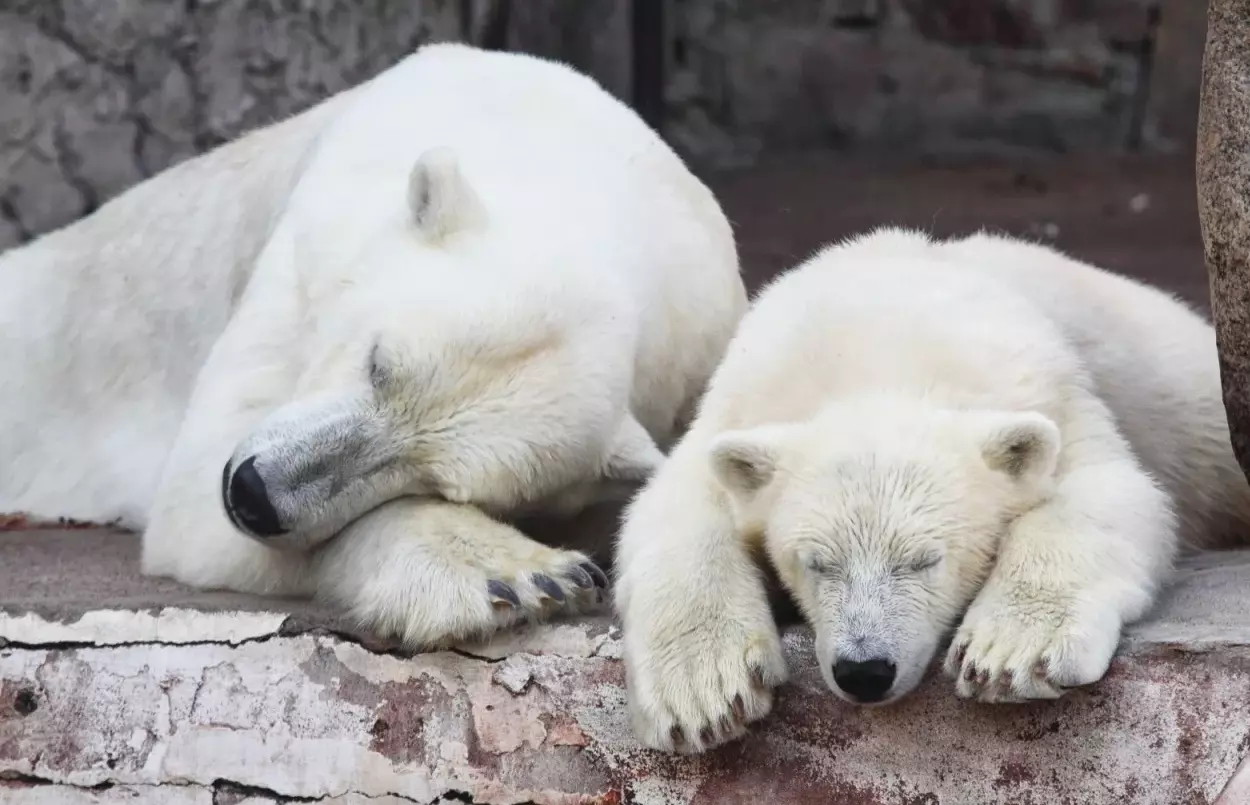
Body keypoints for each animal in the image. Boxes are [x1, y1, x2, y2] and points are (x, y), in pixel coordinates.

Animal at [0, 42, 740, 650]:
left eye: (444, 481)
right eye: (378, 362)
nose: (256, 494)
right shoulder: (309, 246)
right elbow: (193, 508)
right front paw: (521, 574)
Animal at [615, 227, 1250, 755]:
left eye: (925, 561)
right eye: (815, 563)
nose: (865, 671)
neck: (882, 348)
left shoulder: (1051, 397)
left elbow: (1109, 490)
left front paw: (1007, 657)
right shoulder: (736, 406)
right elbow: (674, 512)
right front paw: (705, 697)